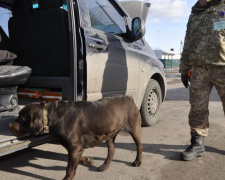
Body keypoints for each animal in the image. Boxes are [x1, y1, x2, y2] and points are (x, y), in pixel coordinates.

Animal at [9, 95, 142, 179]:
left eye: (21, 119)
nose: (9, 125)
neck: (53, 115)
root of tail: (129, 98)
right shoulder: (77, 146)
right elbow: (80, 157)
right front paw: (87, 160)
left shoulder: (74, 147)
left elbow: (69, 169)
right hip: (109, 134)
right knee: (112, 150)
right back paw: (104, 166)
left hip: (134, 128)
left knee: (139, 146)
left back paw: (138, 161)